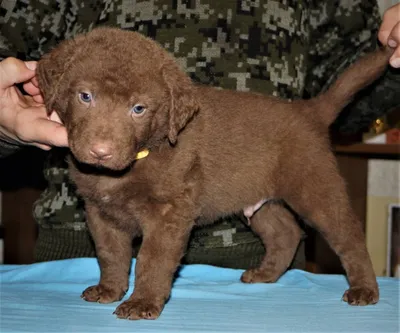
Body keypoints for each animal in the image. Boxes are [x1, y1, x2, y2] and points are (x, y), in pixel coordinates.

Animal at [38, 27, 394, 320]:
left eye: (138, 109)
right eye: (85, 96)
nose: (101, 151)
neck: (140, 157)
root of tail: (308, 110)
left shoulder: (169, 214)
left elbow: (152, 260)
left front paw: (142, 303)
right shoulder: (100, 212)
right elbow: (110, 254)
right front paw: (110, 290)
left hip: (315, 186)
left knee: (348, 236)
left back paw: (365, 290)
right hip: (258, 197)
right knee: (286, 232)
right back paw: (264, 275)